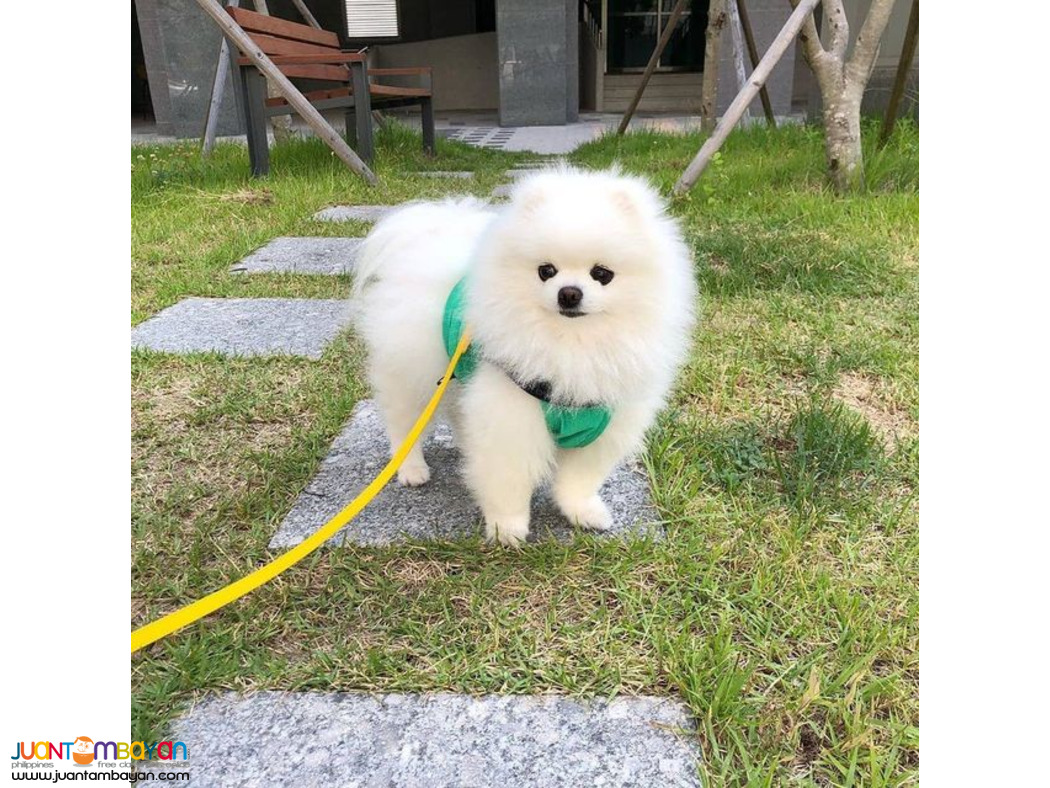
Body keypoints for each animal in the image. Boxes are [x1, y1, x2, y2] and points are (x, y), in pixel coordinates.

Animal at [352, 167, 697, 546]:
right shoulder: (511, 413)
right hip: (415, 372)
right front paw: (508, 529)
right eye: (546, 271)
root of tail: (440, 234)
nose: (569, 293)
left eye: (602, 274)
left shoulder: (602, 423)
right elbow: (508, 478)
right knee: (404, 423)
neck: (572, 343)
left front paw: (584, 512)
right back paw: (412, 469)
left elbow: (579, 480)